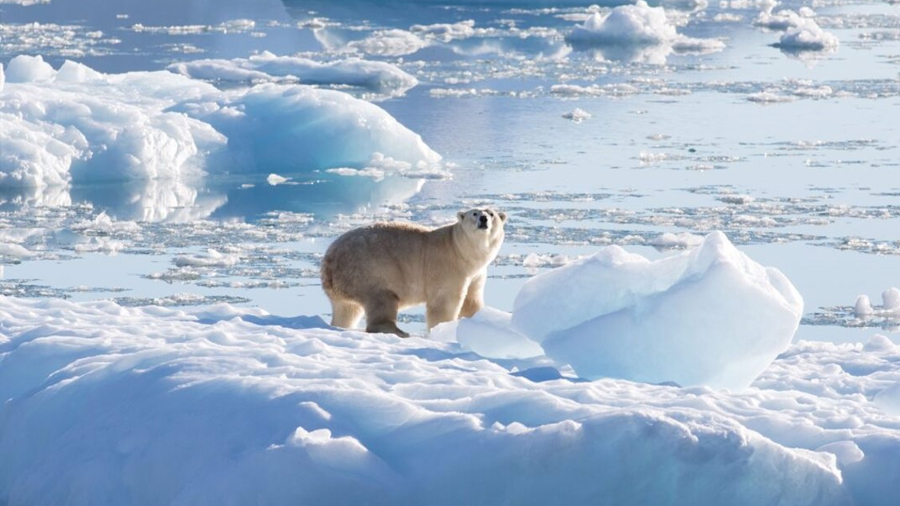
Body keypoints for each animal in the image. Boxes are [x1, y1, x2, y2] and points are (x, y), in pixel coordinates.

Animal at [320, 208, 506, 338]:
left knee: (347, 309)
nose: (483, 219)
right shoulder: (447, 267)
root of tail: (329, 259)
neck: (460, 249)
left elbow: (471, 301)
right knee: (382, 299)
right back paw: (399, 331)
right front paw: (443, 329)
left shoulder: (476, 273)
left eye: (491, 213)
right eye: (474, 213)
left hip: (345, 282)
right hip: (368, 269)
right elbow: (444, 303)